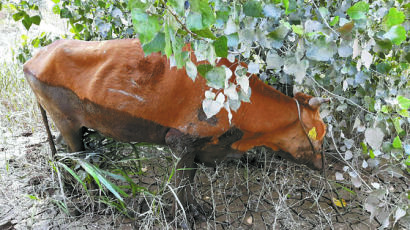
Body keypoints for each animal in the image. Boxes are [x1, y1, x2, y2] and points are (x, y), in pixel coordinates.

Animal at [23, 39, 330, 219]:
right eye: (319, 135)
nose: (322, 165)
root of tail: (34, 58)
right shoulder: (182, 141)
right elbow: (182, 181)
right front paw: (181, 215)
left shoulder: (196, 147)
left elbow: (190, 178)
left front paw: (195, 209)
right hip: (67, 122)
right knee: (79, 159)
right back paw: (93, 200)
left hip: (67, 124)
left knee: (60, 154)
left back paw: (69, 190)